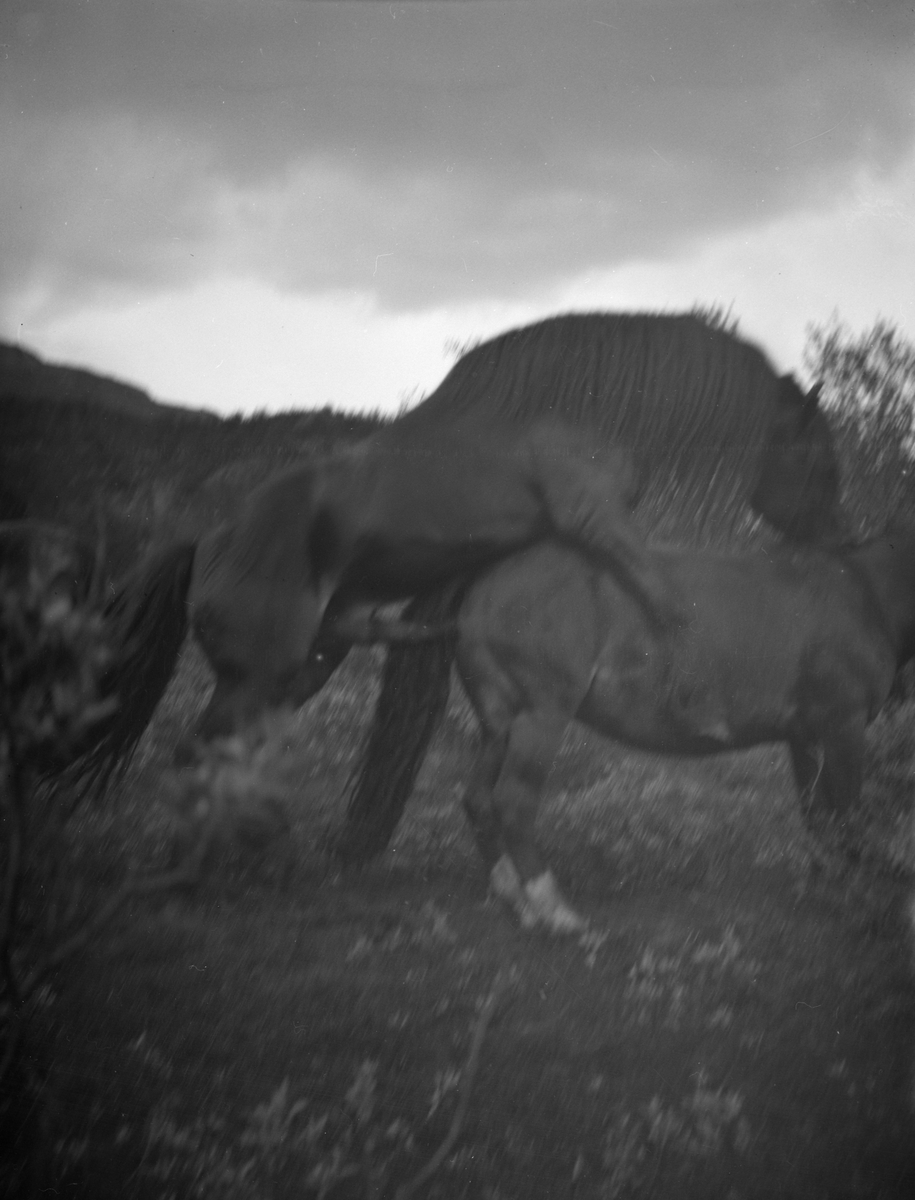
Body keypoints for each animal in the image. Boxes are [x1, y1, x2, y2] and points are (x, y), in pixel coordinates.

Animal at [69, 314, 840, 801]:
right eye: (816, 451)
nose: (838, 529)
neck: (590, 409)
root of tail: (209, 540)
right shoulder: (596, 521)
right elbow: (669, 603)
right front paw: (700, 699)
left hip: (310, 661)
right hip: (260, 674)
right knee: (196, 752)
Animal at [437, 528, 912, 936]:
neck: (867, 593)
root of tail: (486, 578)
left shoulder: (806, 736)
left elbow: (818, 816)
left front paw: (824, 883)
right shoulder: (842, 726)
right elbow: (847, 815)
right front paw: (861, 901)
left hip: (498, 723)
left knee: (477, 799)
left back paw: (514, 896)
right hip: (541, 715)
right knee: (513, 803)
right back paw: (553, 910)